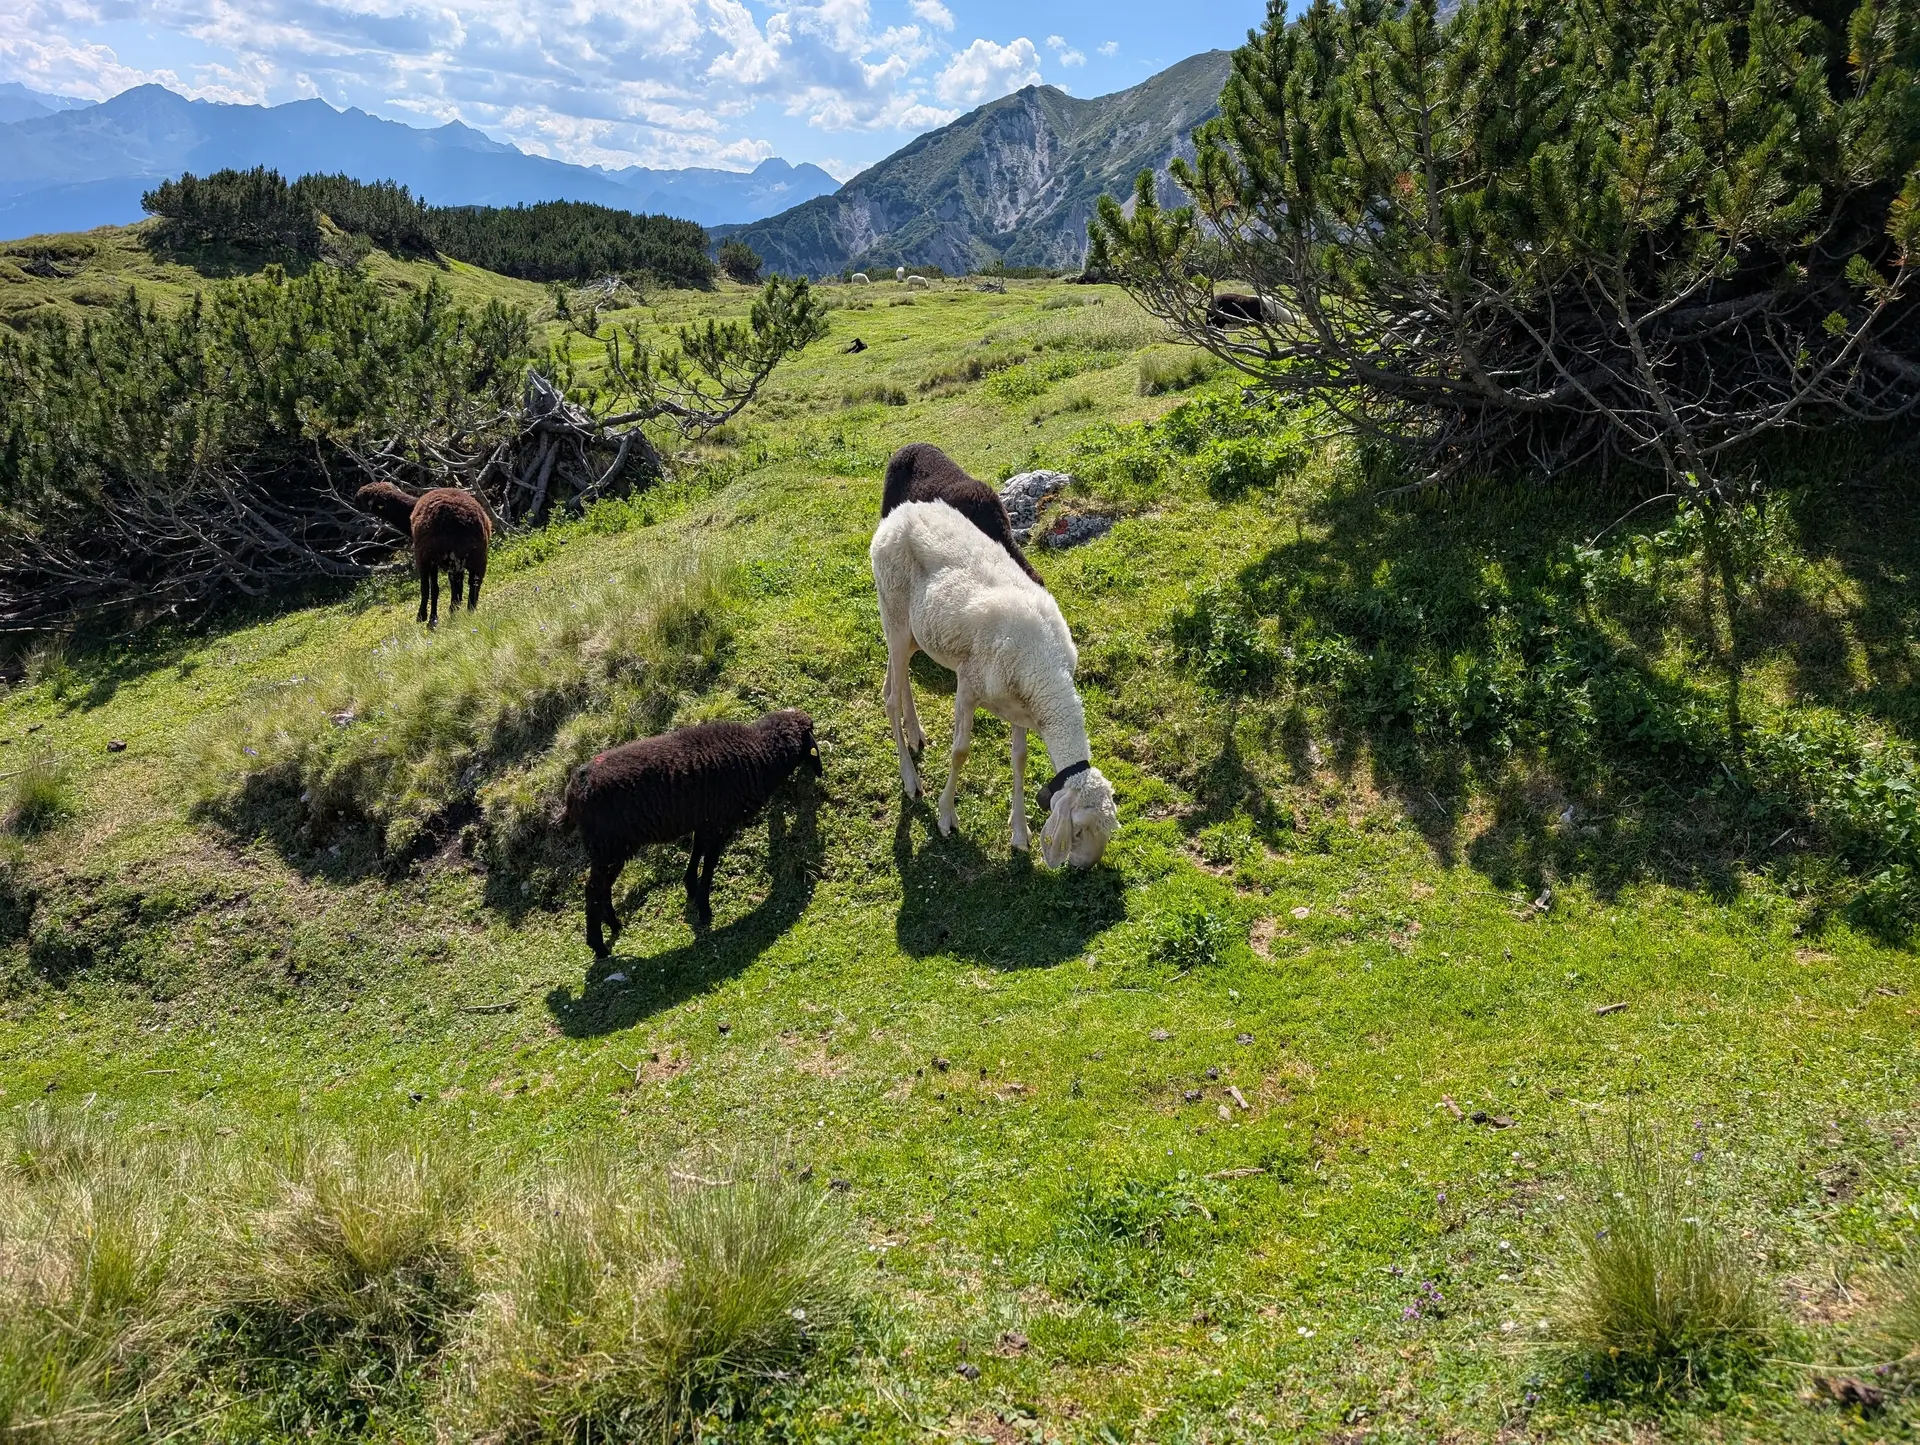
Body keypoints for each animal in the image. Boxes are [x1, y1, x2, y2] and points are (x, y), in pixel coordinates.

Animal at [353, 482, 491, 627]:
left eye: (364, 498)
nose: (355, 497)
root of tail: (463, 520)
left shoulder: (425, 558)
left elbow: (430, 588)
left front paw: (426, 618)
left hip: (445, 556)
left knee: (442, 586)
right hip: (477, 557)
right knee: (473, 583)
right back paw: (468, 611)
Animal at [560, 709, 822, 955]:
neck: (759, 751)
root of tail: (574, 792)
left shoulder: (704, 821)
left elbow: (697, 850)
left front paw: (690, 887)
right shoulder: (719, 821)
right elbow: (710, 862)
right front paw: (704, 908)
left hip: (611, 848)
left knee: (603, 888)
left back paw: (614, 925)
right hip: (607, 844)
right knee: (593, 890)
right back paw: (598, 946)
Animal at [871, 501, 1118, 868]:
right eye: (1077, 830)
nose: (1084, 868)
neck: (1046, 670)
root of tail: (899, 512)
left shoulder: (1020, 707)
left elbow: (1020, 758)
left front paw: (1019, 833)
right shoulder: (968, 686)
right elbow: (960, 752)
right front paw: (946, 817)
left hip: (914, 632)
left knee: (897, 682)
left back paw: (915, 731)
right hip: (894, 612)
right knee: (890, 696)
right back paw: (911, 778)